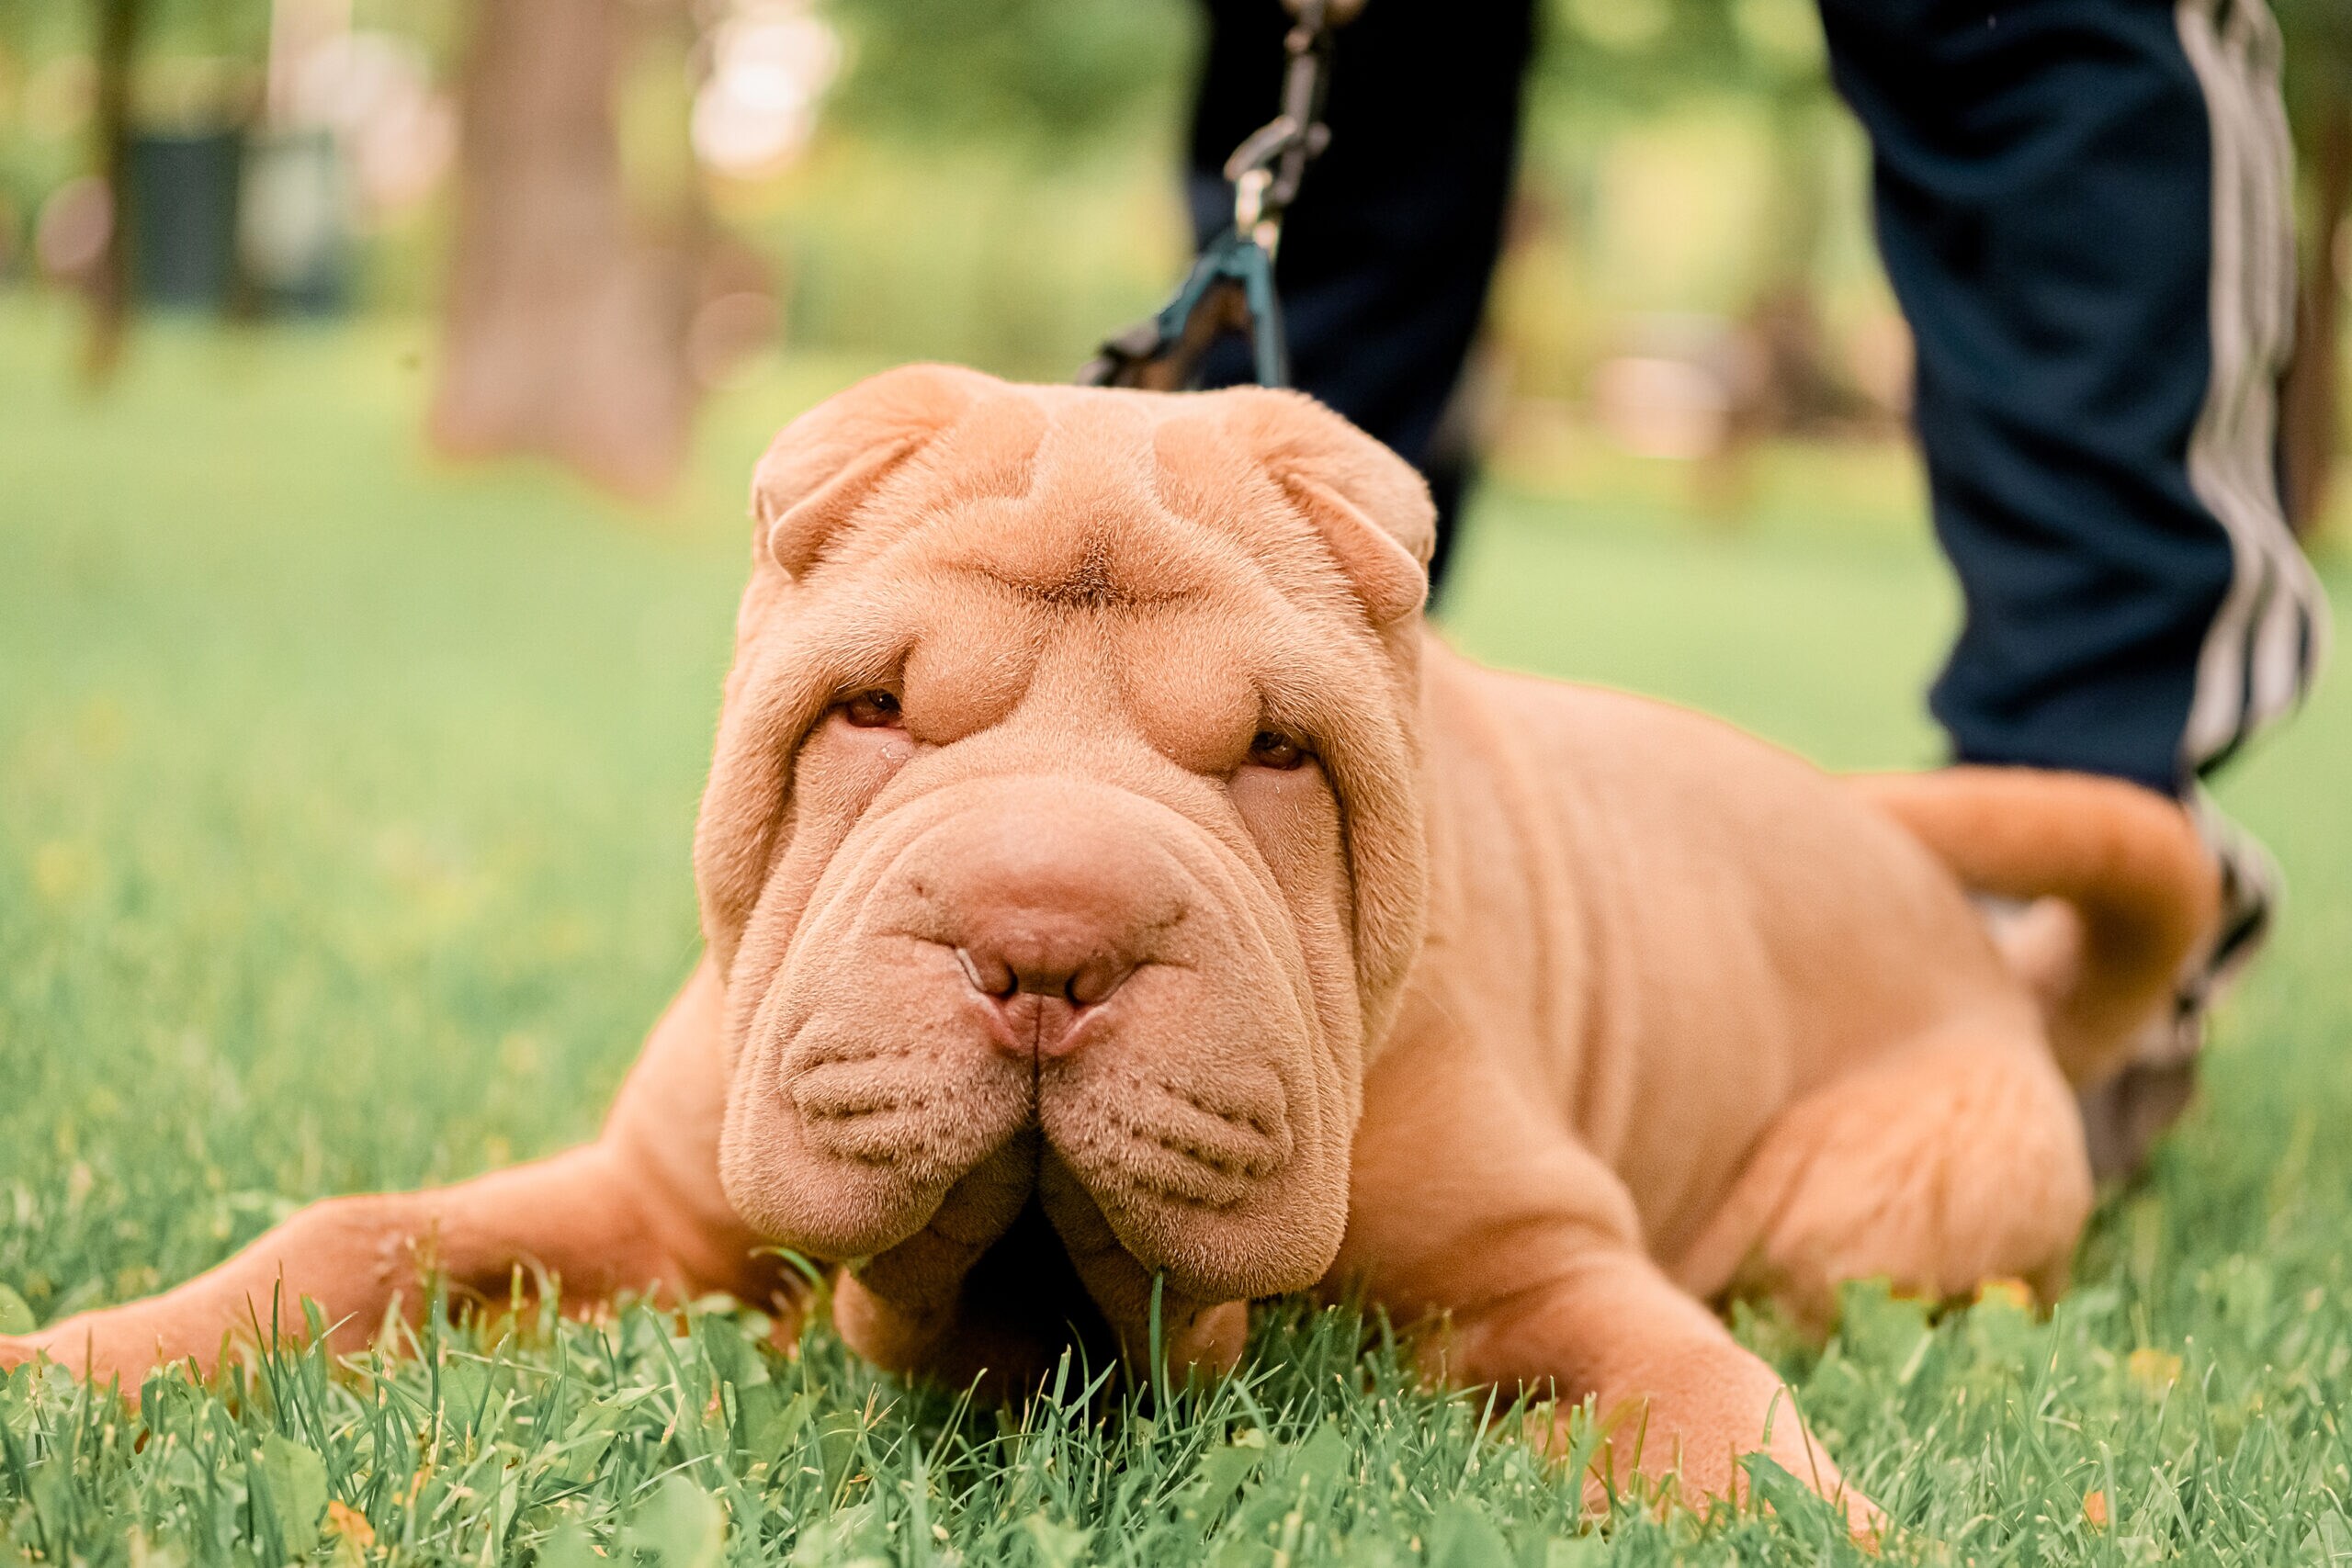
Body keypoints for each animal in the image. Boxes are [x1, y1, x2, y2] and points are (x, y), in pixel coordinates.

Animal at [0, 364, 2211, 1532]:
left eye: (1275, 753)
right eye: (872, 712)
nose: (1042, 936)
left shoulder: (1549, 1263)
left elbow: (1702, 1408)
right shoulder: (642, 1195)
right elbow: (352, 1244)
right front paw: (72, 1371)